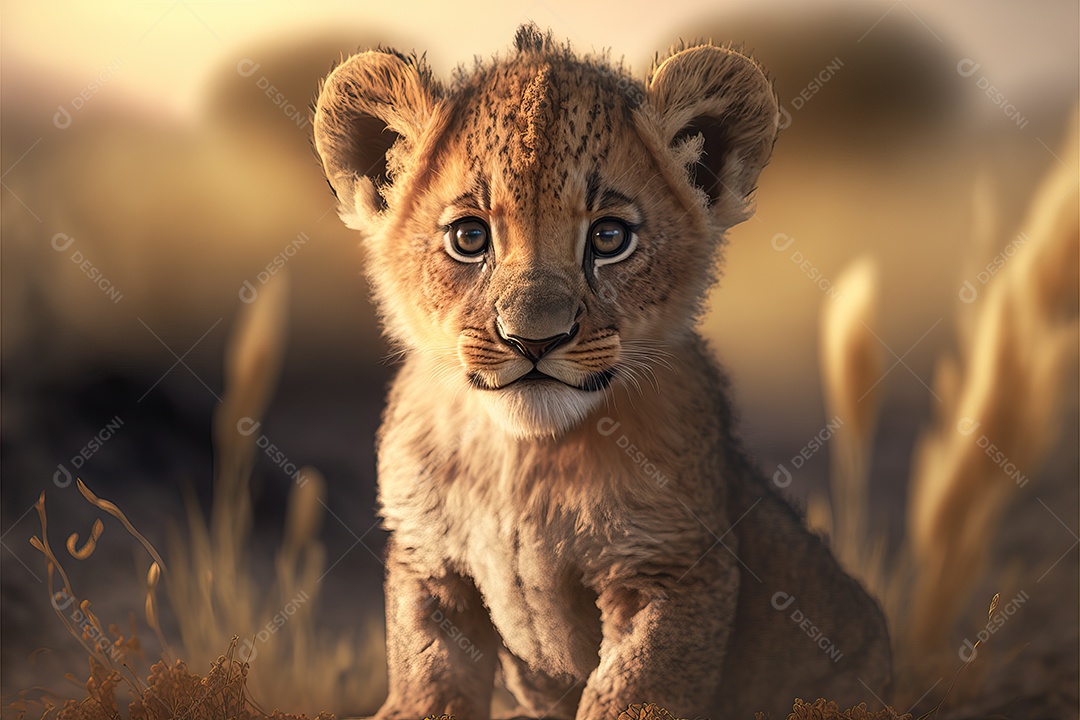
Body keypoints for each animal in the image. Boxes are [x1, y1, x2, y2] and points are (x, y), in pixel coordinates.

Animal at [313, 24, 891, 720]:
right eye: (469, 238)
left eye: (610, 237)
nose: (534, 338)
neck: (522, 462)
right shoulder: (429, 562)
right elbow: (430, 682)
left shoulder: (670, 570)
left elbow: (631, 690)